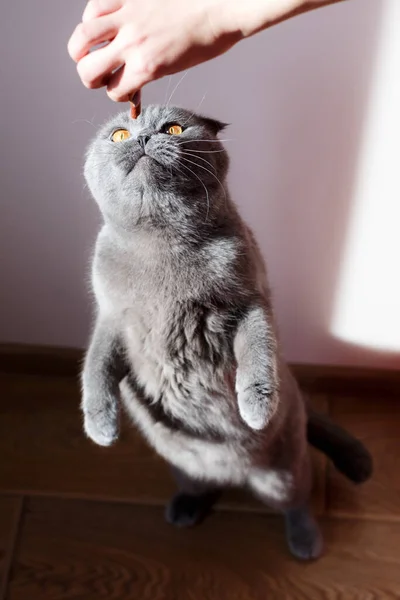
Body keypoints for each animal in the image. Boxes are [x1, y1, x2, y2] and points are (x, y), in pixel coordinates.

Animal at [81, 105, 372, 560]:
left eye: (173, 129)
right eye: (119, 135)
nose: (144, 138)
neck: (161, 246)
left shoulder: (249, 301)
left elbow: (258, 352)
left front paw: (255, 408)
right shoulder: (111, 318)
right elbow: (95, 371)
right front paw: (102, 429)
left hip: (284, 469)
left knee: (297, 501)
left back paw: (306, 543)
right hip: (184, 466)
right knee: (202, 485)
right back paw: (185, 509)